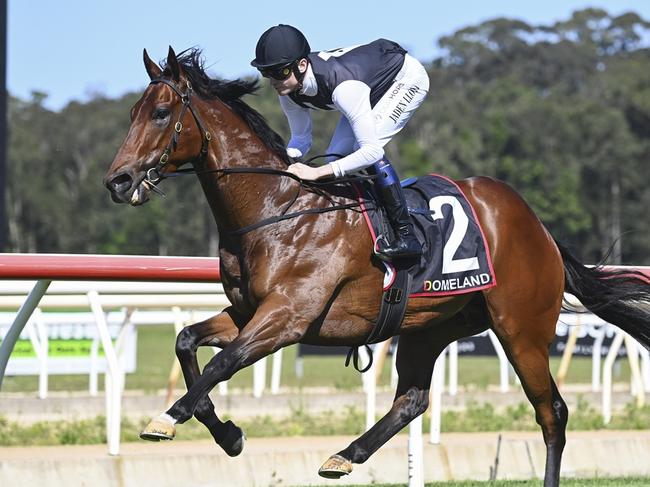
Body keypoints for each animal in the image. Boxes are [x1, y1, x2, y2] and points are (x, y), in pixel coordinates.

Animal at [102, 46, 648, 487]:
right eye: (131, 112)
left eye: (162, 112)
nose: (118, 180)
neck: (275, 209)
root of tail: (540, 228)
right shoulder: (248, 312)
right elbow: (187, 341)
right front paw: (226, 434)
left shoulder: (289, 316)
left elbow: (222, 362)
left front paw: (170, 417)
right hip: (431, 325)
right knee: (412, 400)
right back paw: (346, 454)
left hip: (522, 328)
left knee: (551, 411)